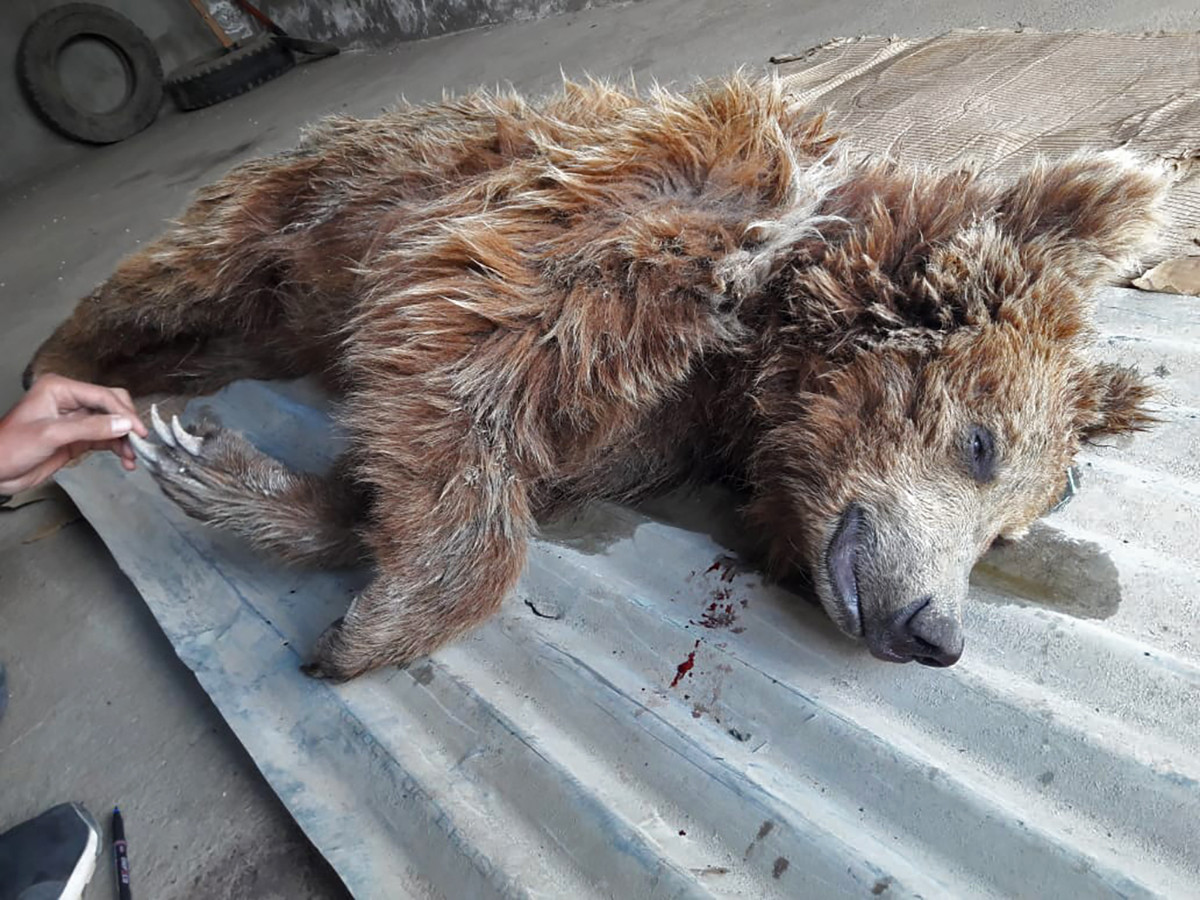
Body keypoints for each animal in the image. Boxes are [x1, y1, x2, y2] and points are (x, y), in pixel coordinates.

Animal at [25, 74, 1165, 681]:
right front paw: (381, 629)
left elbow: (421, 452)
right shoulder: (629, 225)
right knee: (164, 279)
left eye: (1005, 535)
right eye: (981, 446)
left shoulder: (643, 429)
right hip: (285, 206)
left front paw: (242, 484)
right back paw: (61, 377)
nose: (938, 633)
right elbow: (452, 348)